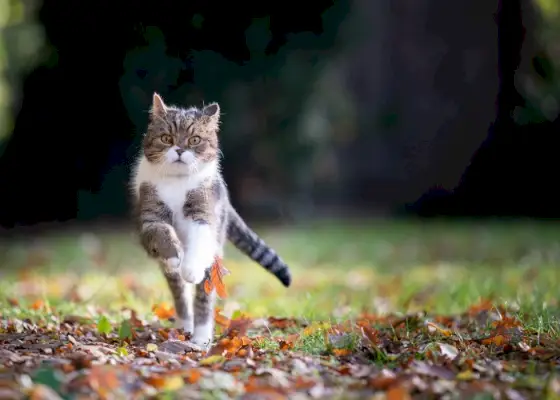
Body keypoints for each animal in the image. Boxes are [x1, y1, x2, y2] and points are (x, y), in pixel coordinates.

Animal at [130, 93, 290, 346]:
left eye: (194, 139)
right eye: (167, 138)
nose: (179, 149)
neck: (177, 183)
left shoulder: (202, 214)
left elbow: (197, 243)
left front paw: (191, 269)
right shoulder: (150, 216)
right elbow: (162, 233)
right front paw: (174, 256)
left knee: (204, 296)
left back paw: (201, 338)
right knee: (180, 294)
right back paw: (184, 325)